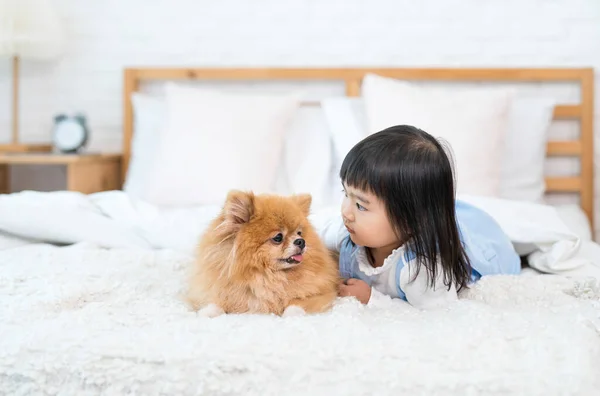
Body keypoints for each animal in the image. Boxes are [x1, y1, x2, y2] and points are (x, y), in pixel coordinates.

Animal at [185, 190, 340, 318]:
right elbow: (214, 301)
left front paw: (292, 314)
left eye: (299, 233)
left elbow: (296, 304)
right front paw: (207, 312)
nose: (301, 241)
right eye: (278, 237)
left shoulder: (322, 294)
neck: (266, 276)